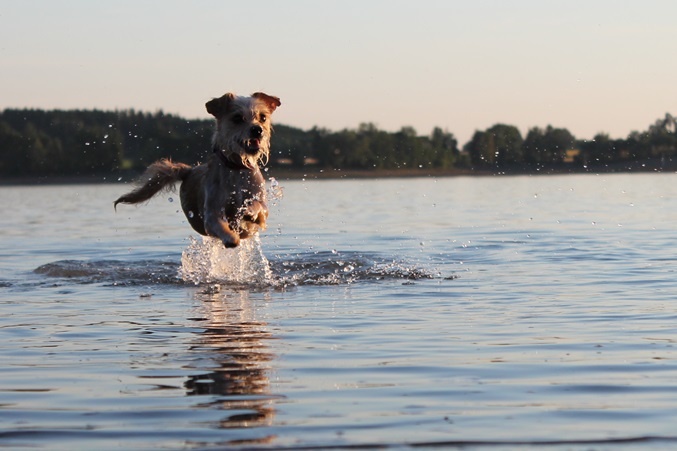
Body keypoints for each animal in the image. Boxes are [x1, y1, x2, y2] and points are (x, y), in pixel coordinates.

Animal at [113, 91, 280, 247]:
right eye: (237, 118)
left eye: (263, 117)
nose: (257, 129)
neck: (237, 168)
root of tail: (190, 170)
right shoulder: (211, 212)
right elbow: (219, 225)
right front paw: (231, 238)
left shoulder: (261, 203)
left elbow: (260, 208)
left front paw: (250, 211)